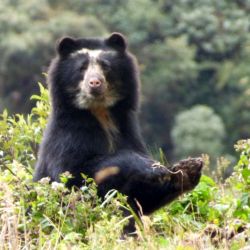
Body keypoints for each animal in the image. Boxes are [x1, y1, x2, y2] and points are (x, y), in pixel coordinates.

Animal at [33, 32, 203, 234]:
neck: (100, 112)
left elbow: (142, 198)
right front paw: (151, 166)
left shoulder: (128, 131)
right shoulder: (68, 137)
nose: (95, 83)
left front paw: (188, 168)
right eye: (81, 68)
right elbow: (73, 176)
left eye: (105, 66)